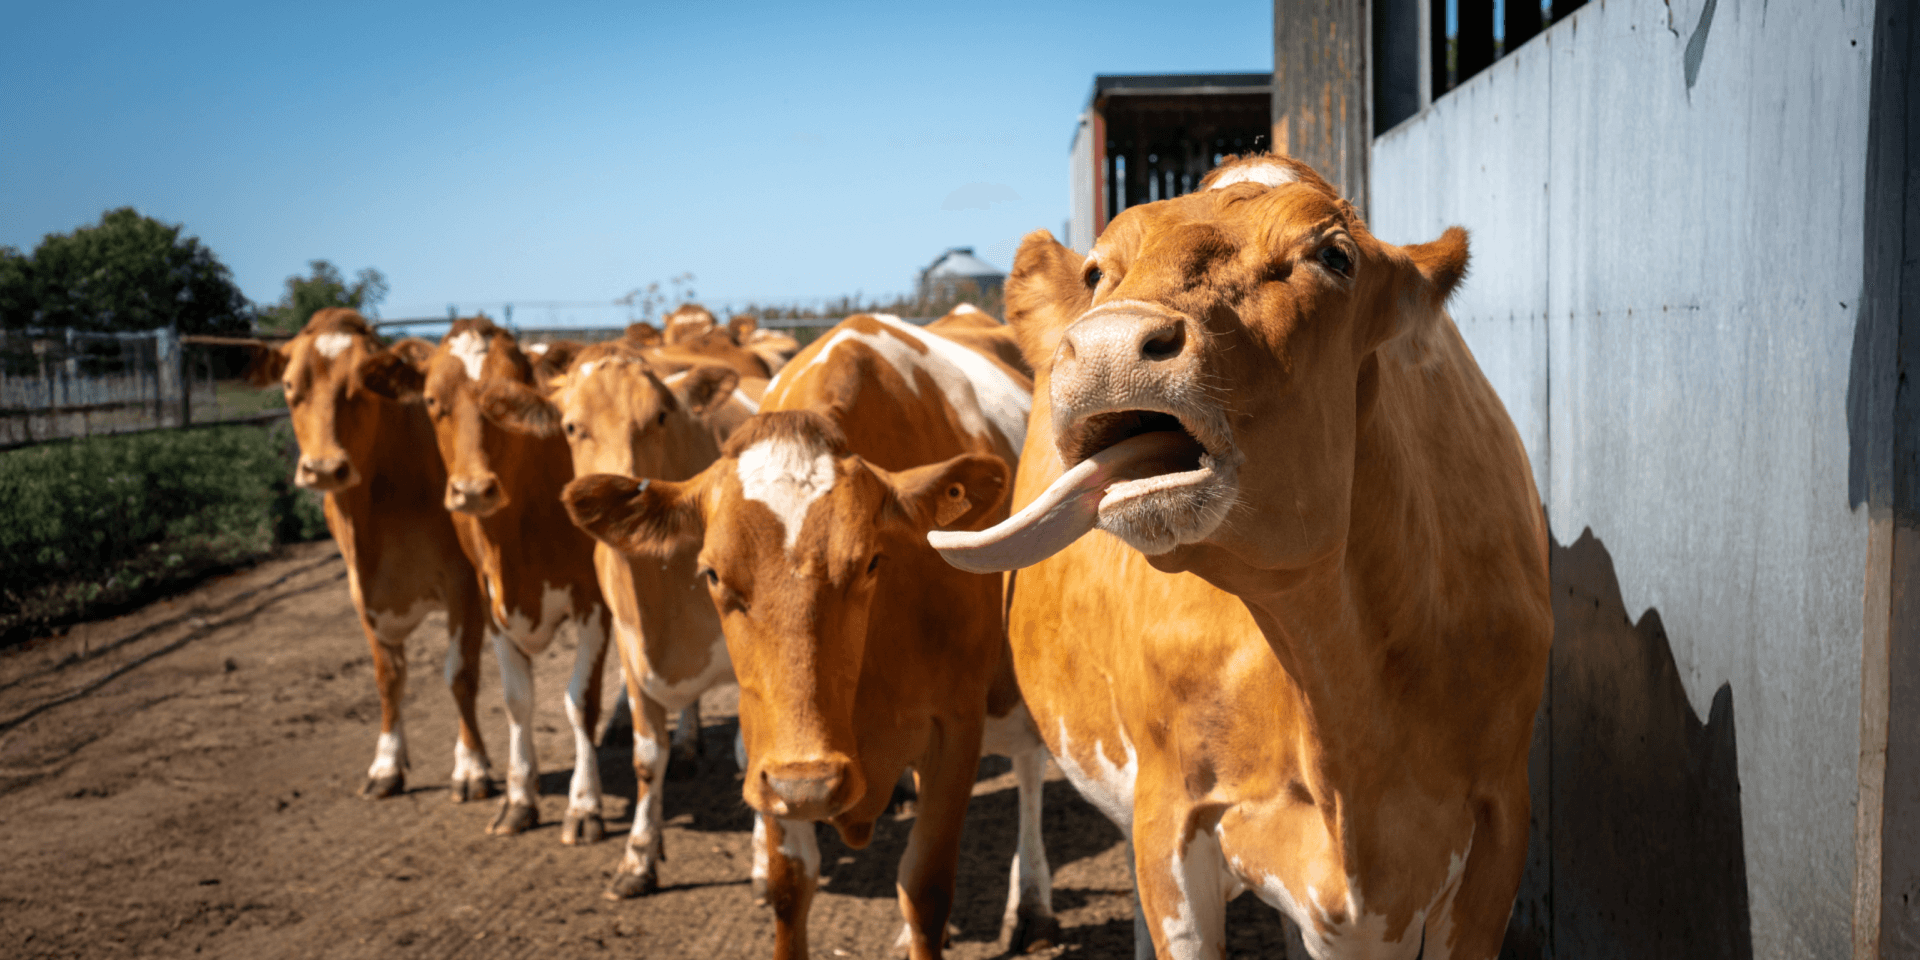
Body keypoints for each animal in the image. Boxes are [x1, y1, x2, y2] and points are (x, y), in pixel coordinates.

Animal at [242, 309, 495, 803]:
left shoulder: (465, 583)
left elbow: (460, 673)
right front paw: (386, 764)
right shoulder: (361, 590)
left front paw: (472, 766)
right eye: (289, 384)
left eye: (359, 388)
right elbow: (388, 677)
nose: (324, 468)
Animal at [356, 317, 617, 844]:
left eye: (505, 401)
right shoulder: (486, 595)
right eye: (432, 401)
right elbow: (517, 700)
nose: (474, 490)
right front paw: (519, 799)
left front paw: (584, 805)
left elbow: (580, 701)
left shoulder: (593, 600)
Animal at [478, 340, 765, 898]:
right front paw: (638, 858)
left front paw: (769, 864)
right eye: (571, 426)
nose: (625, 489)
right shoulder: (633, 652)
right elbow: (646, 758)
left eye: (659, 417)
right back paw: (688, 745)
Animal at [565, 313, 1055, 959]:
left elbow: (925, 889)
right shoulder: (769, 748)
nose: (812, 783)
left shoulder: (956, 729)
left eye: (871, 562)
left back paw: (1032, 904)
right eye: (712, 574)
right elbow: (790, 888)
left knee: (1029, 768)